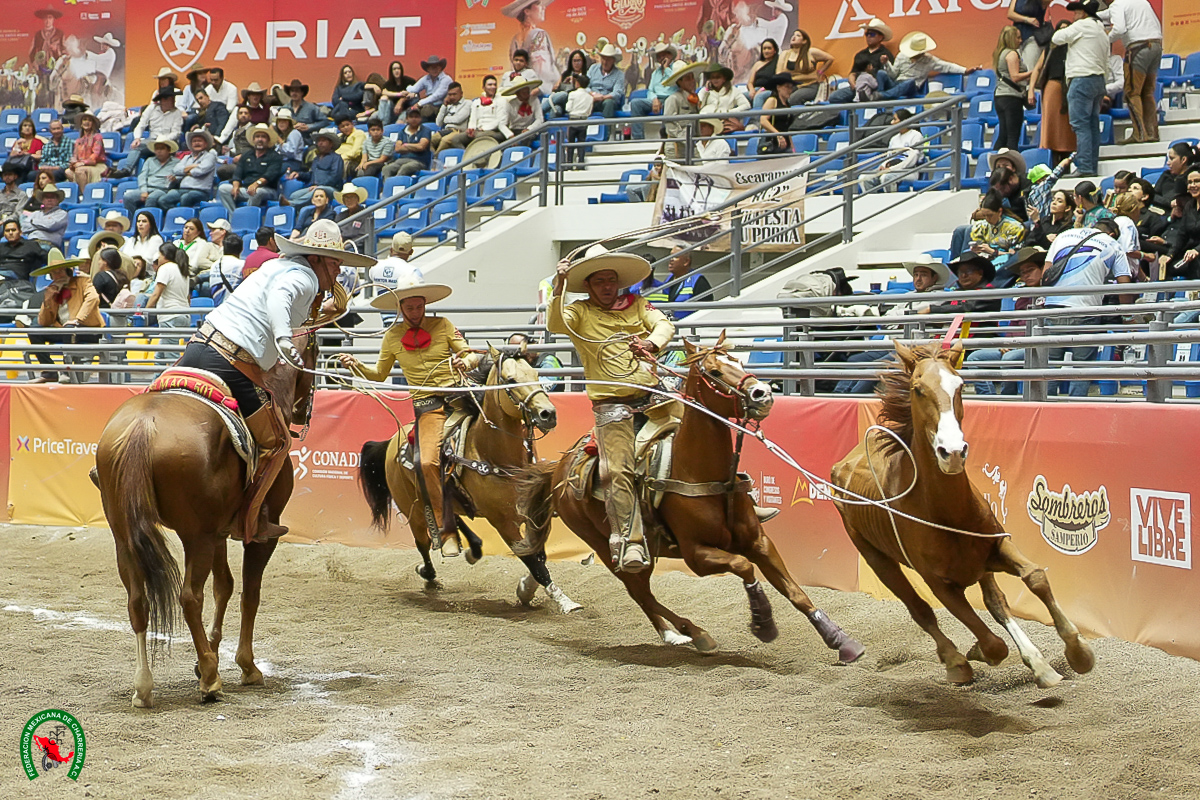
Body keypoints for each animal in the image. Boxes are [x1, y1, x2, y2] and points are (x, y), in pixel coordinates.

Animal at [92, 337, 317, 707]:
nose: (303, 410)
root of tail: (144, 425)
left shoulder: (219, 532)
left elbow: (223, 585)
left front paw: (205, 657)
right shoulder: (259, 535)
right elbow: (249, 593)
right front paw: (244, 665)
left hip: (125, 536)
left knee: (138, 601)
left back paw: (145, 686)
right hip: (195, 536)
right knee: (189, 598)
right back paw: (211, 681)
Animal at [357, 344, 582, 613]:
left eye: (537, 375)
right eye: (510, 380)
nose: (548, 414)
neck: (493, 453)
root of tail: (393, 441)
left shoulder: (530, 512)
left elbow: (538, 554)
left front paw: (527, 589)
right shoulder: (503, 522)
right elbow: (532, 561)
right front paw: (564, 601)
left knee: (452, 519)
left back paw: (472, 548)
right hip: (414, 509)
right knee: (423, 544)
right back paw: (430, 572)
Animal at [517, 335, 865, 660]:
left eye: (739, 360)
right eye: (714, 372)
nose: (762, 393)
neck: (703, 473)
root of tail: (560, 469)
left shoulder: (759, 542)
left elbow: (794, 590)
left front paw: (841, 640)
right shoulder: (697, 555)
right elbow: (743, 566)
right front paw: (763, 622)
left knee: (644, 595)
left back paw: (678, 634)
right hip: (607, 547)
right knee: (640, 593)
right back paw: (692, 634)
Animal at [829, 342, 1095, 687]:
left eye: (960, 385)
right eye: (918, 389)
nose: (953, 452)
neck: (946, 512)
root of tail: (843, 464)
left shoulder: (997, 546)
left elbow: (1035, 577)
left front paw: (1079, 652)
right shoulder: (939, 583)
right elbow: (992, 643)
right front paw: (972, 655)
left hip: (979, 567)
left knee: (997, 603)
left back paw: (1040, 665)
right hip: (875, 556)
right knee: (920, 610)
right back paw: (956, 660)